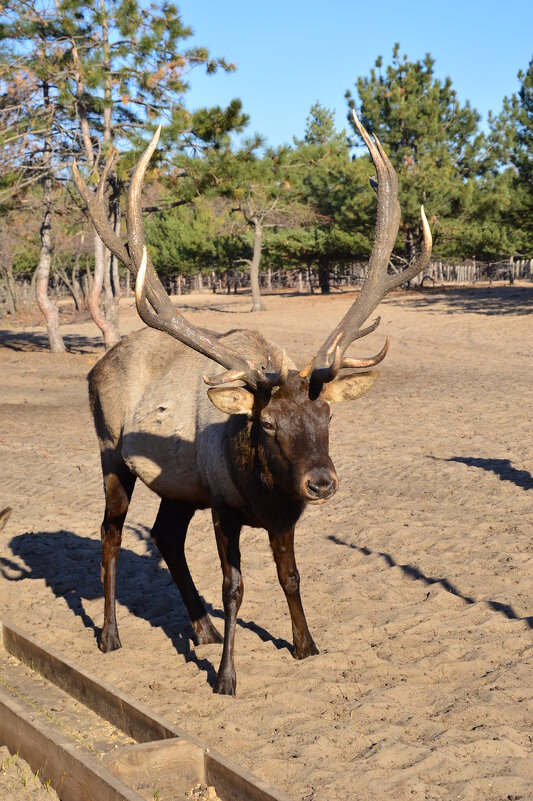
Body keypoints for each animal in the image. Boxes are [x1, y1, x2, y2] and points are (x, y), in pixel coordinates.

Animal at [74, 112, 432, 692]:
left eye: (327, 414)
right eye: (267, 424)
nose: (321, 482)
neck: (264, 491)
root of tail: (97, 364)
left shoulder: (283, 516)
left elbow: (291, 577)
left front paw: (306, 645)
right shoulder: (224, 507)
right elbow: (235, 588)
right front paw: (226, 678)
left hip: (180, 484)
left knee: (165, 536)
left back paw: (201, 629)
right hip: (109, 449)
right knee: (109, 532)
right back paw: (110, 634)